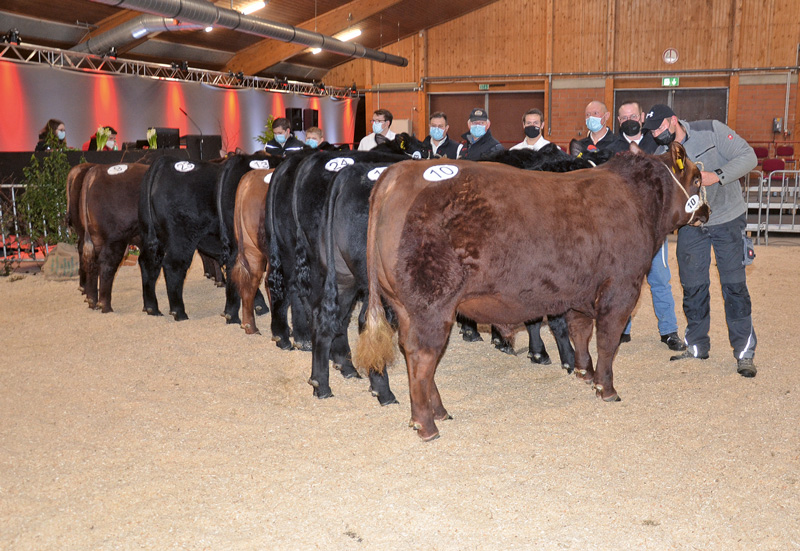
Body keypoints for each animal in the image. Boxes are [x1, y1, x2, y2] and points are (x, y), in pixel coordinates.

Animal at [360, 142, 708, 440]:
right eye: (697, 178)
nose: (706, 211)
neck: (638, 201)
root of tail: (399, 172)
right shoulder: (621, 288)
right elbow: (608, 342)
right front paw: (606, 388)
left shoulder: (580, 293)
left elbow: (581, 333)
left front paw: (584, 372)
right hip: (431, 306)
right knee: (423, 357)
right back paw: (427, 424)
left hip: (405, 307)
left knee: (413, 353)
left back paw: (440, 411)